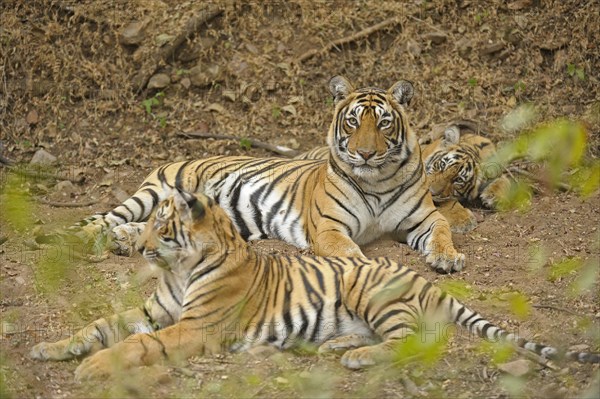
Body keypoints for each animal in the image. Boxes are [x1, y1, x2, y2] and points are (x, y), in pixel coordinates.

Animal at [30, 191, 596, 382]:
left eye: (162, 227)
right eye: (148, 224)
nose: (140, 247)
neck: (180, 268)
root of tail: (420, 277)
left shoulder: (191, 327)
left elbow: (137, 345)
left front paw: (92, 368)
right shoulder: (153, 312)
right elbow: (100, 324)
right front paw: (49, 348)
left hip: (371, 290)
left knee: (415, 340)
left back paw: (357, 357)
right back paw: (339, 346)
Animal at [62, 75, 464, 274]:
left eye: (383, 123)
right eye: (352, 121)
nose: (365, 153)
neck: (377, 179)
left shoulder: (425, 218)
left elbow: (443, 231)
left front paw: (448, 257)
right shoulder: (330, 227)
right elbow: (351, 252)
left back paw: (124, 240)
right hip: (157, 191)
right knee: (105, 219)